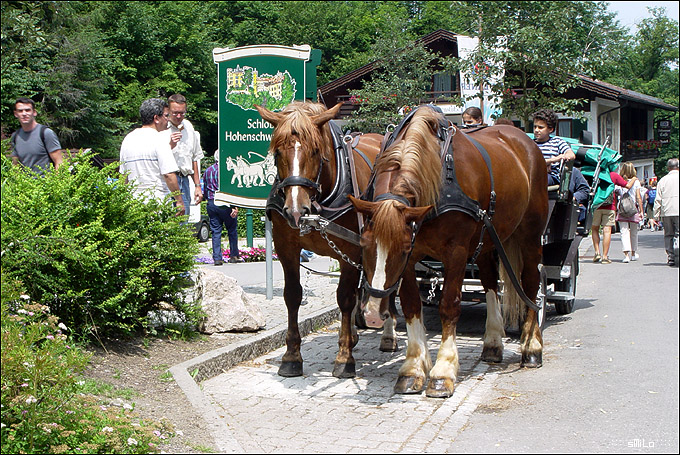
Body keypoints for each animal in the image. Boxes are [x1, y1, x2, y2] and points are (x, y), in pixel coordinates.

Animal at [255, 101, 390, 380]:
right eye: (277, 153)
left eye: (316, 151)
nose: (296, 211)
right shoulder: (286, 249)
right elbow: (292, 295)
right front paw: (291, 356)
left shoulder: (351, 250)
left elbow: (345, 298)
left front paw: (344, 357)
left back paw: (387, 336)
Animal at [350, 105, 548, 398]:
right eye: (364, 245)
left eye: (402, 248)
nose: (373, 315)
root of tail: (523, 138)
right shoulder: (413, 258)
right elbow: (411, 305)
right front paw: (413, 368)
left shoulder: (454, 252)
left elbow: (449, 306)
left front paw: (442, 371)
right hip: (488, 239)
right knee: (490, 283)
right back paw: (492, 343)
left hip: (530, 236)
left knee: (532, 285)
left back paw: (532, 347)